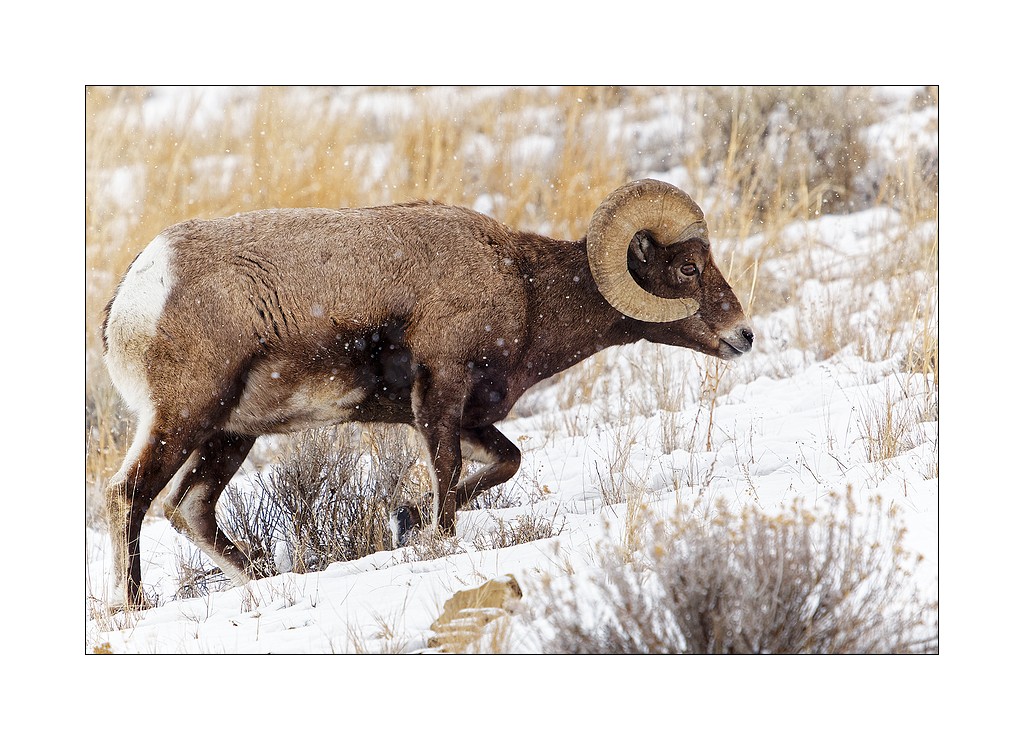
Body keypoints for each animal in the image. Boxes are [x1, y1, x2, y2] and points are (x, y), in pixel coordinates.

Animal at [102, 178, 753, 609]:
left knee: (188, 508)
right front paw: (429, 534)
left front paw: (405, 519)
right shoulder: (440, 393)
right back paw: (132, 606)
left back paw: (265, 579)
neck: (523, 286)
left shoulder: (471, 415)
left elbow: (505, 463)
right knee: (127, 497)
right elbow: (448, 479)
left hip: (230, 434)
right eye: (690, 269)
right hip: (184, 418)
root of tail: (134, 294)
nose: (743, 336)